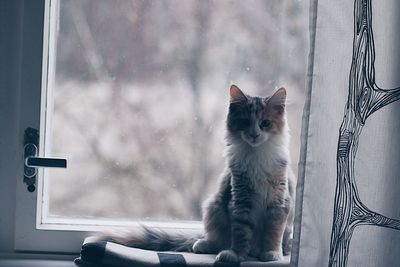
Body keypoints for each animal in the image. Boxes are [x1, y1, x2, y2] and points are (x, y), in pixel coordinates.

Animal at [96, 85, 296, 264]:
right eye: (245, 122)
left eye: (265, 123)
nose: (254, 134)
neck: (256, 154)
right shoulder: (240, 199)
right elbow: (240, 232)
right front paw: (235, 254)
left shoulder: (279, 202)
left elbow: (273, 232)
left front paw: (271, 253)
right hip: (213, 206)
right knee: (217, 240)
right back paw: (204, 245)